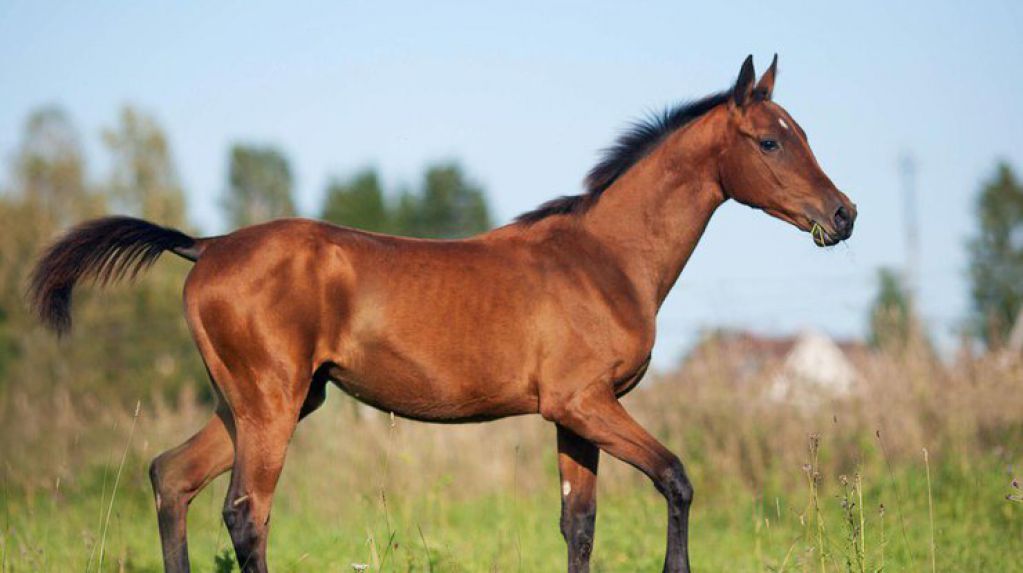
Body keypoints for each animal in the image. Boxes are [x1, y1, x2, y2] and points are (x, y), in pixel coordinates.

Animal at [29, 55, 856, 573]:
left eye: (805, 133)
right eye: (769, 139)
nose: (842, 215)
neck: (602, 258)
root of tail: (203, 246)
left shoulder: (573, 413)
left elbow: (578, 525)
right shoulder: (586, 403)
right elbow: (676, 478)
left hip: (258, 402)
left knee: (171, 476)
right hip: (271, 402)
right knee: (244, 511)